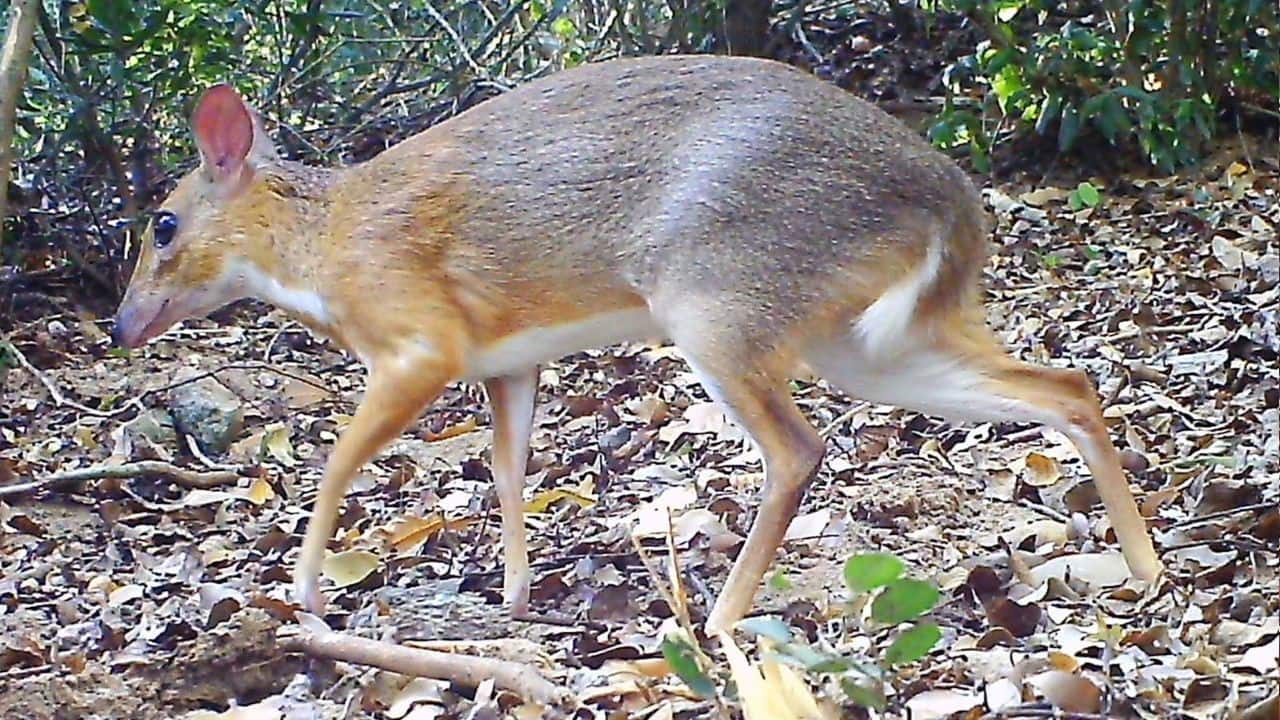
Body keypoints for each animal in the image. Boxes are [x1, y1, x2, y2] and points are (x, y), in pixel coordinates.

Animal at [112, 55, 1163, 634]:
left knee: (798, 449)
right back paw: (1148, 572)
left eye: (162, 224)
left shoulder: (419, 340)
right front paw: (515, 594)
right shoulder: (506, 359)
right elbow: (508, 470)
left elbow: (336, 459)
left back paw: (720, 621)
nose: (121, 326)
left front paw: (305, 588)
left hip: (718, 299)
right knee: (1065, 385)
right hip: (864, 340)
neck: (324, 247)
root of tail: (950, 196)